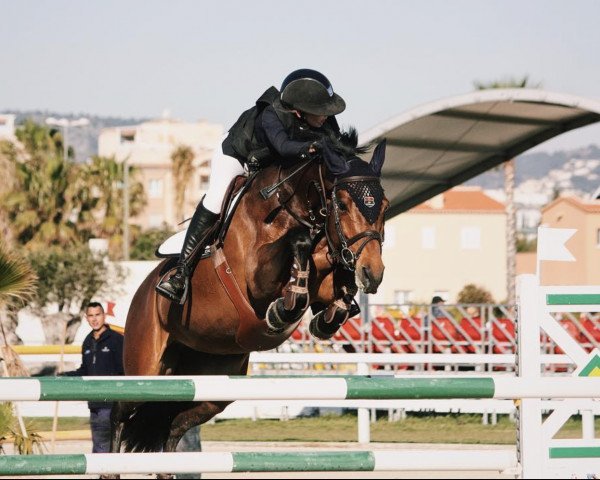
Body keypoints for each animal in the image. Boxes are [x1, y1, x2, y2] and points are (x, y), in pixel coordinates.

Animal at [109, 130, 386, 458]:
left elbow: (328, 278)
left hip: (213, 384)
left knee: (173, 423)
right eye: (341, 205)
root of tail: (143, 291)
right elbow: (298, 244)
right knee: (120, 412)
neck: (286, 206)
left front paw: (332, 309)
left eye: (384, 205)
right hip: (145, 367)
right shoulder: (256, 279)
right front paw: (284, 308)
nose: (373, 273)